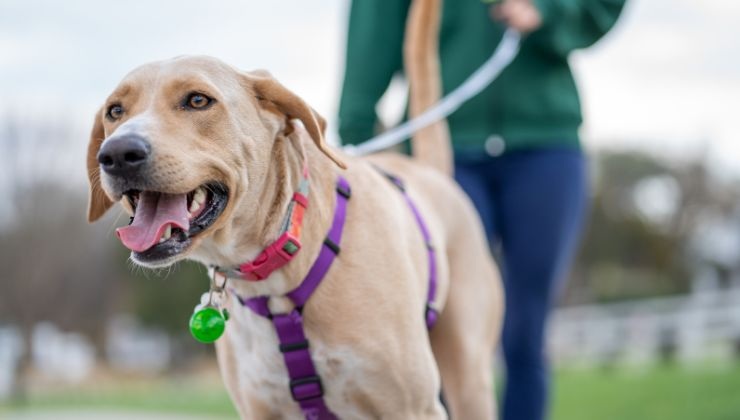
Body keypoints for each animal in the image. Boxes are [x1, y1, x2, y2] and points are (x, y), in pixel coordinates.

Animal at [86, 1, 502, 418]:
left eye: (198, 100)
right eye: (115, 110)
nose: (117, 154)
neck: (275, 273)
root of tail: (430, 173)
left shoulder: (413, 407)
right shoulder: (261, 409)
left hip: (470, 381)